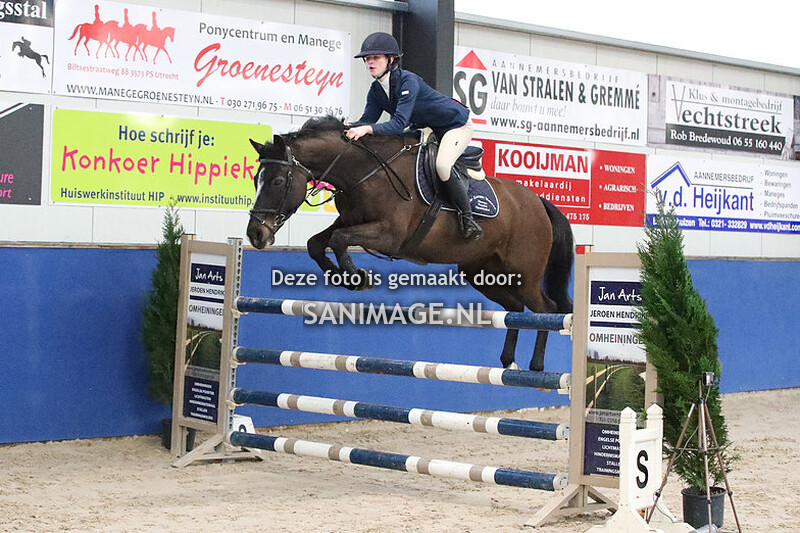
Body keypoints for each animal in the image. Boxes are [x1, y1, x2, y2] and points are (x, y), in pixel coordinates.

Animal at [246, 116, 574, 371]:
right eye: (254, 179)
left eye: (277, 181)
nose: (255, 235)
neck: (364, 171)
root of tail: (539, 202)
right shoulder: (350, 220)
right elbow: (317, 242)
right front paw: (342, 276)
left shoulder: (390, 235)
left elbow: (339, 240)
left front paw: (357, 278)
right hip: (483, 273)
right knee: (515, 309)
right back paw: (509, 362)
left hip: (524, 273)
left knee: (546, 309)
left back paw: (536, 366)